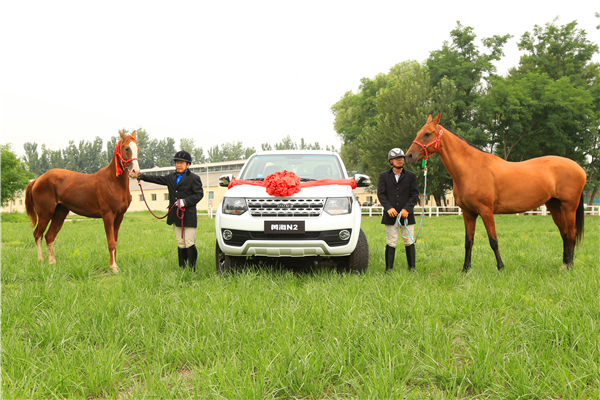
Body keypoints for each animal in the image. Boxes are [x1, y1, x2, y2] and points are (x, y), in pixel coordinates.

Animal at [24, 131, 141, 272]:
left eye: (138, 149)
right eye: (127, 148)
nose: (136, 172)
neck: (113, 182)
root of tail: (37, 180)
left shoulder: (119, 216)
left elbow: (116, 241)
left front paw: (115, 265)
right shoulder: (108, 215)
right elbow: (111, 242)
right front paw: (113, 268)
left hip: (59, 213)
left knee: (49, 236)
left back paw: (52, 262)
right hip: (45, 214)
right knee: (37, 234)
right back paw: (41, 261)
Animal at [404, 113, 584, 272]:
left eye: (427, 133)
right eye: (418, 132)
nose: (409, 156)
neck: (472, 168)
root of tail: (578, 167)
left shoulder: (486, 211)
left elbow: (493, 240)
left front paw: (500, 267)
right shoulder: (468, 213)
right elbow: (468, 241)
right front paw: (465, 268)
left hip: (569, 208)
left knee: (571, 234)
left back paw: (569, 266)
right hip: (554, 206)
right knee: (564, 233)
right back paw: (564, 264)